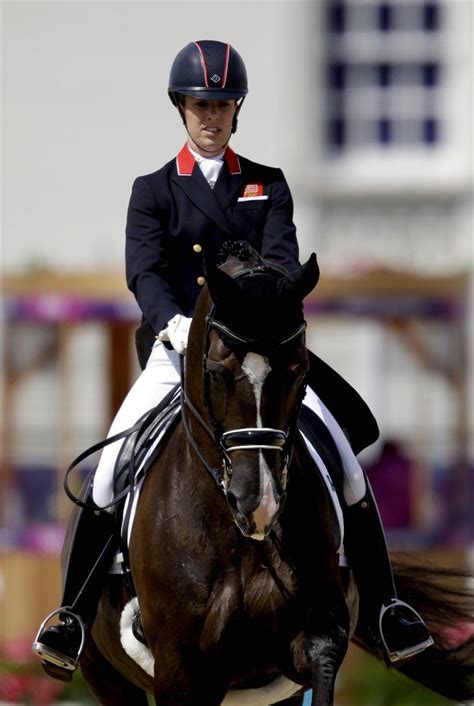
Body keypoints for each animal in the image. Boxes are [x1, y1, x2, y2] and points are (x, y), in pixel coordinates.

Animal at [78, 243, 474, 704]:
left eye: (300, 372)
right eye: (216, 373)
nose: (259, 503)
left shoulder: (311, 635)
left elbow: (322, 656)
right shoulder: (181, 668)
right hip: (106, 675)